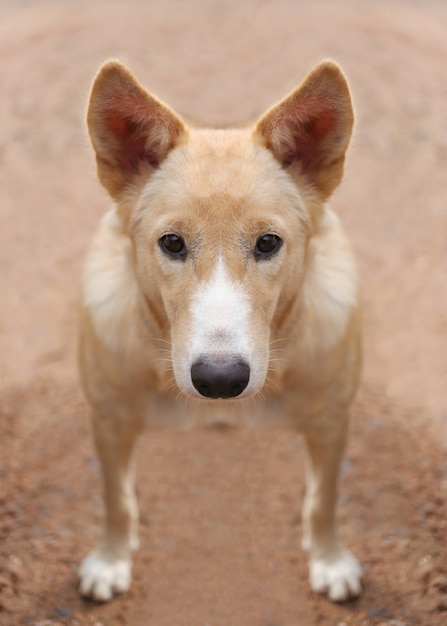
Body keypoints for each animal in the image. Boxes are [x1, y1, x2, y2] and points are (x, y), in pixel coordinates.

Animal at [77, 58, 364, 600]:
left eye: (268, 243)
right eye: (172, 243)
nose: (220, 381)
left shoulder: (332, 419)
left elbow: (324, 500)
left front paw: (330, 561)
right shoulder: (109, 418)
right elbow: (115, 500)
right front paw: (110, 561)